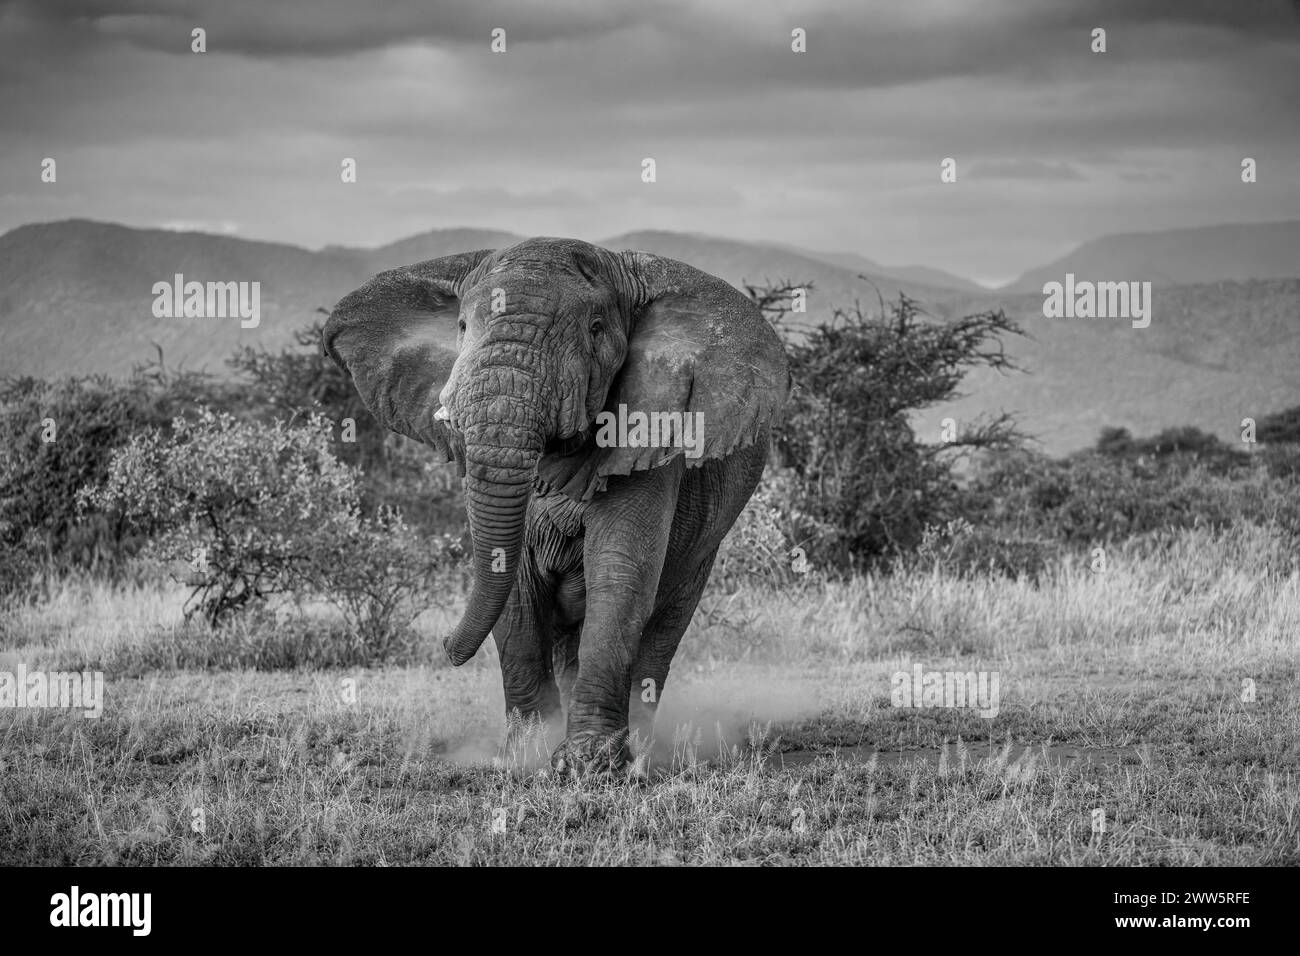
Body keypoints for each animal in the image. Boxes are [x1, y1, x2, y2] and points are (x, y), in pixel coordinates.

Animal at [322, 237, 790, 776]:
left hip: (706, 544)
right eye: (461, 327)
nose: (444, 647)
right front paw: (525, 755)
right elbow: (510, 579)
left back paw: (643, 754)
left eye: (596, 329)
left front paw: (587, 763)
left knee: (663, 626)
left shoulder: (651, 432)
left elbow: (620, 574)